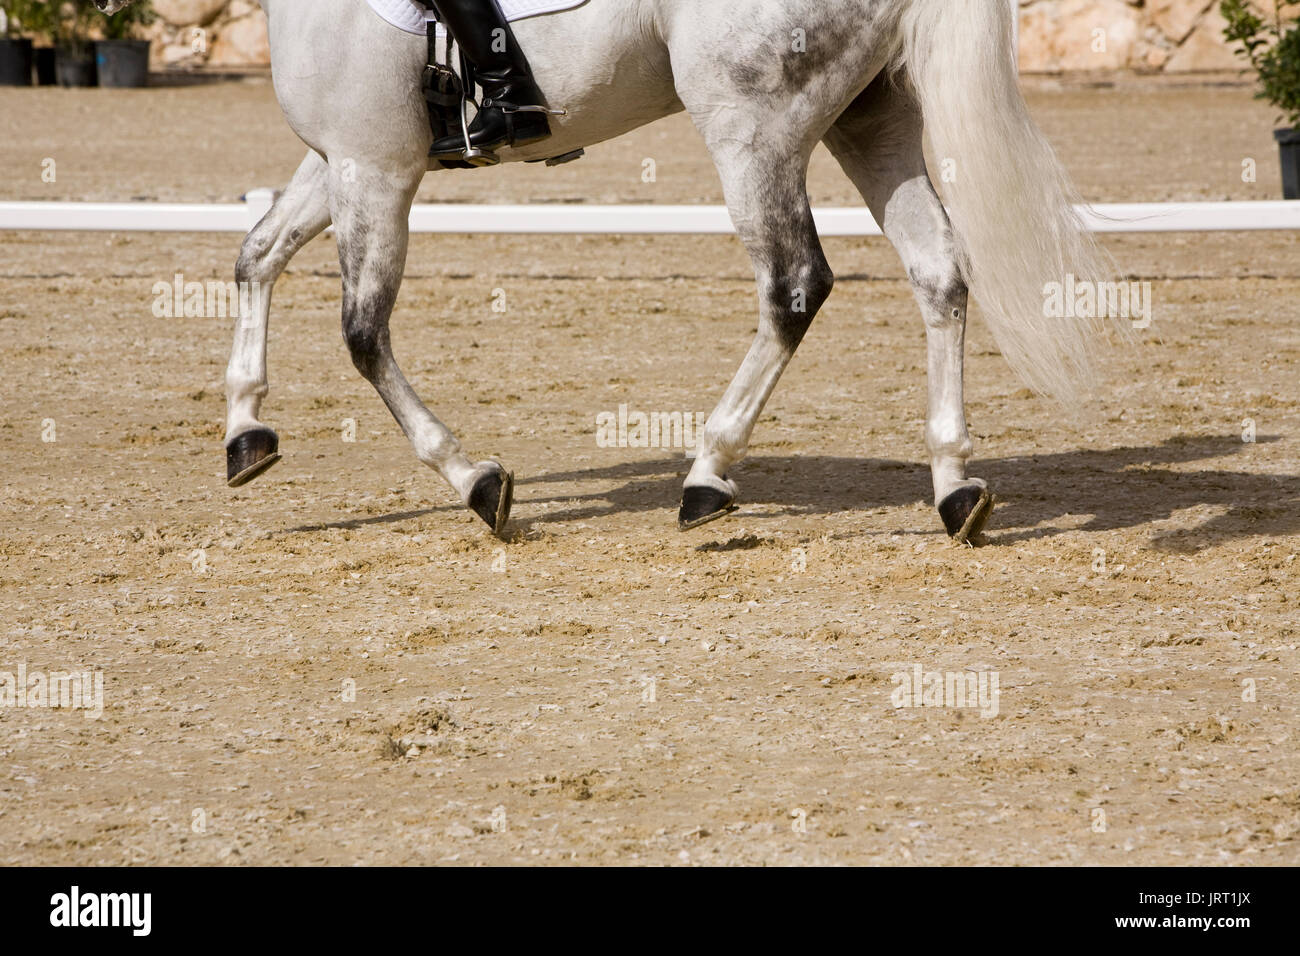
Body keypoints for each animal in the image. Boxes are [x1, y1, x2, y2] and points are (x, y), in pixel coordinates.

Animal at [96, 0, 1112, 541]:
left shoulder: (374, 168)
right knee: (938, 272)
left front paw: (477, 483)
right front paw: (245, 433)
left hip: (753, 124)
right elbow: (255, 256)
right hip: (870, 112)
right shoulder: (345, 159)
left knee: (794, 285)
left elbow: (362, 333)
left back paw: (707, 475)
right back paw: (953, 488)